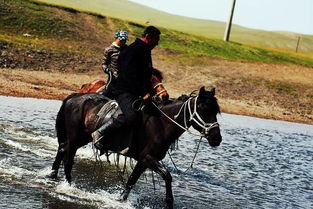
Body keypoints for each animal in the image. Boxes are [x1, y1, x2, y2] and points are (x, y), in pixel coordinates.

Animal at [48, 86, 221, 207]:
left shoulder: (144, 161)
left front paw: (120, 199)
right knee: (68, 158)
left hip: (81, 138)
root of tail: (75, 97)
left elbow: (132, 180)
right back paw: (69, 186)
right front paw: (169, 201)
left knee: (62, 148)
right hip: (75, 138)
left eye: (216, 111)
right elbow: (167, 175)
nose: (216, 138)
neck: (160, 123)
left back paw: (53, 174)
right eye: (203, 109)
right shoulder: (148, 157)